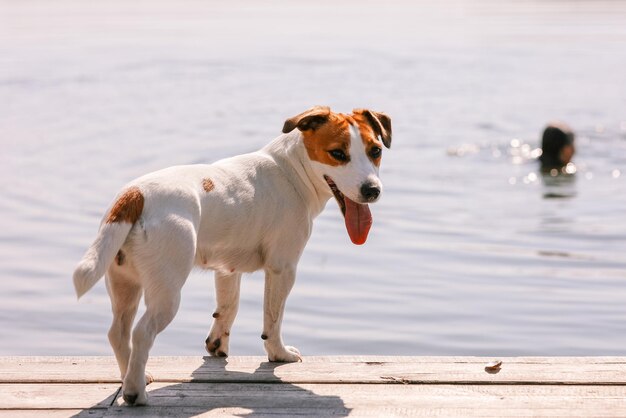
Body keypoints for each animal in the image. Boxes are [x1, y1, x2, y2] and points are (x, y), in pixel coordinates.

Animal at [70, 106, 388, 406]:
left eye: (376, 151)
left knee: (118, 333)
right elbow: (273, 318)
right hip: (166, 293)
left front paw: (217, 345)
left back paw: (132, 376)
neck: (291, 170)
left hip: (124, 284)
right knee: (141, 333)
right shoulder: (282, 268)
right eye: (338, 154)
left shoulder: (227, 270)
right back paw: (135, 393)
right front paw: (279, 353)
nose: (372, 190)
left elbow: (228, 308)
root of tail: (134, 195)